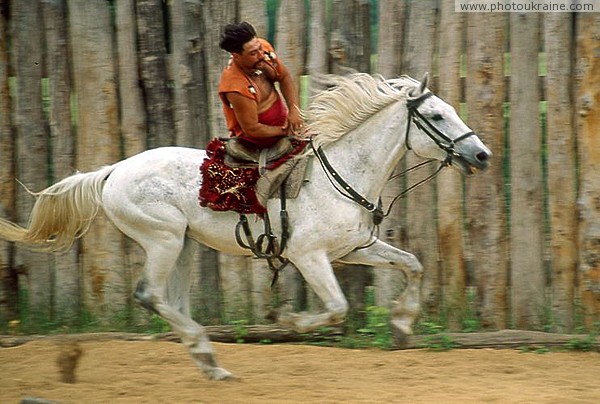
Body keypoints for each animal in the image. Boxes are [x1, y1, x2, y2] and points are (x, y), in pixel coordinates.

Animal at [0, 73, 490, 378]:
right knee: (150, 295)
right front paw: (287, 319)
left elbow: (413, 264)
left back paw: (210, 362)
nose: (482, 155)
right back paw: (206, 353)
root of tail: (113, 171)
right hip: (162, 240)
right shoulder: (308, 256)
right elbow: (337, 307)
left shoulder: (355, 249)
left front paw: (403, 324)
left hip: (183, 245)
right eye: (438, 116)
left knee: (172, 300)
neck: (342, 171)